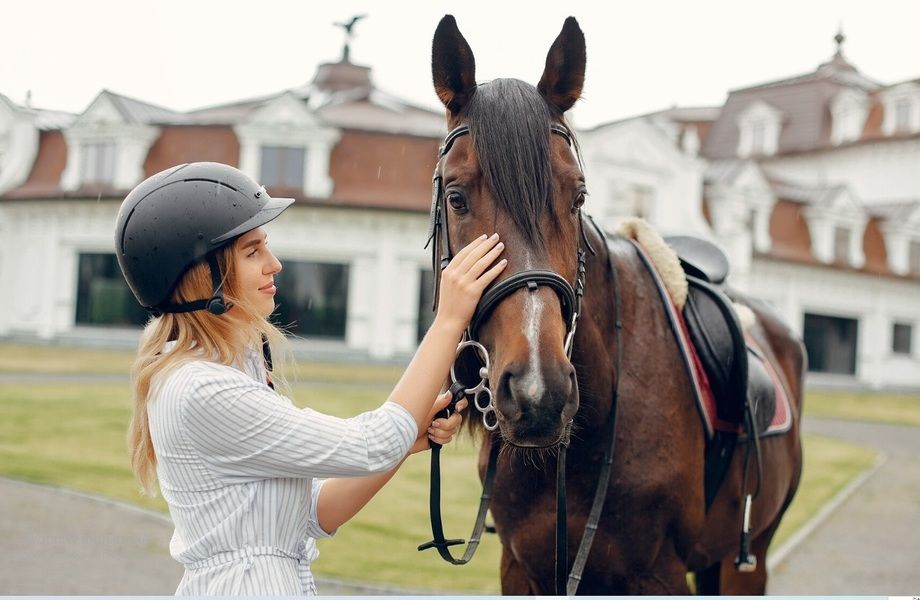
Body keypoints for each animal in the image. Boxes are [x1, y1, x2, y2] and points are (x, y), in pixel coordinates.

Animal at [428, 15, 800, 596]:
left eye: (578, 196)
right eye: (457, 197)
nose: (538, 392)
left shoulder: (658, 575)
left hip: (748, 559)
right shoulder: (521, 566)